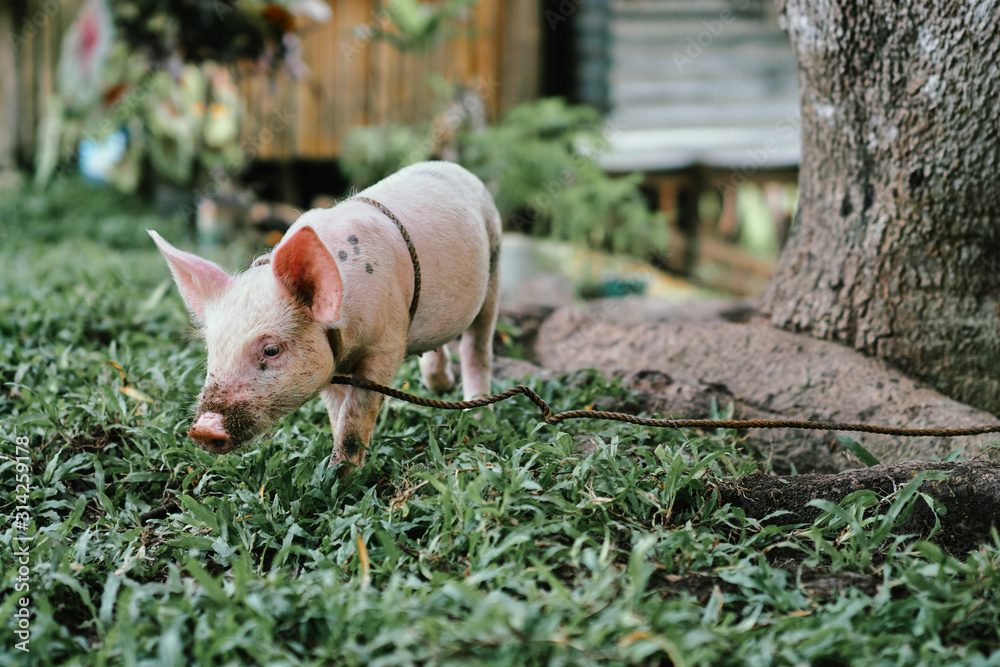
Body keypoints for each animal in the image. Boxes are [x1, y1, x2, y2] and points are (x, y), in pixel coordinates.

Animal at [150, 161, 501, 469]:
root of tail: (455, 168)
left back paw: (478, 418)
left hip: (494, 265)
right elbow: (337, 413)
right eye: (212, 349)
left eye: (271, 349)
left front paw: (341, 479)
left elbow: (356, 414)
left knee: (477, 346)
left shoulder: (387, 343)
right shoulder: (328, 356)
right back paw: (440, 386)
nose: (203, 428)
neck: (345, 328)